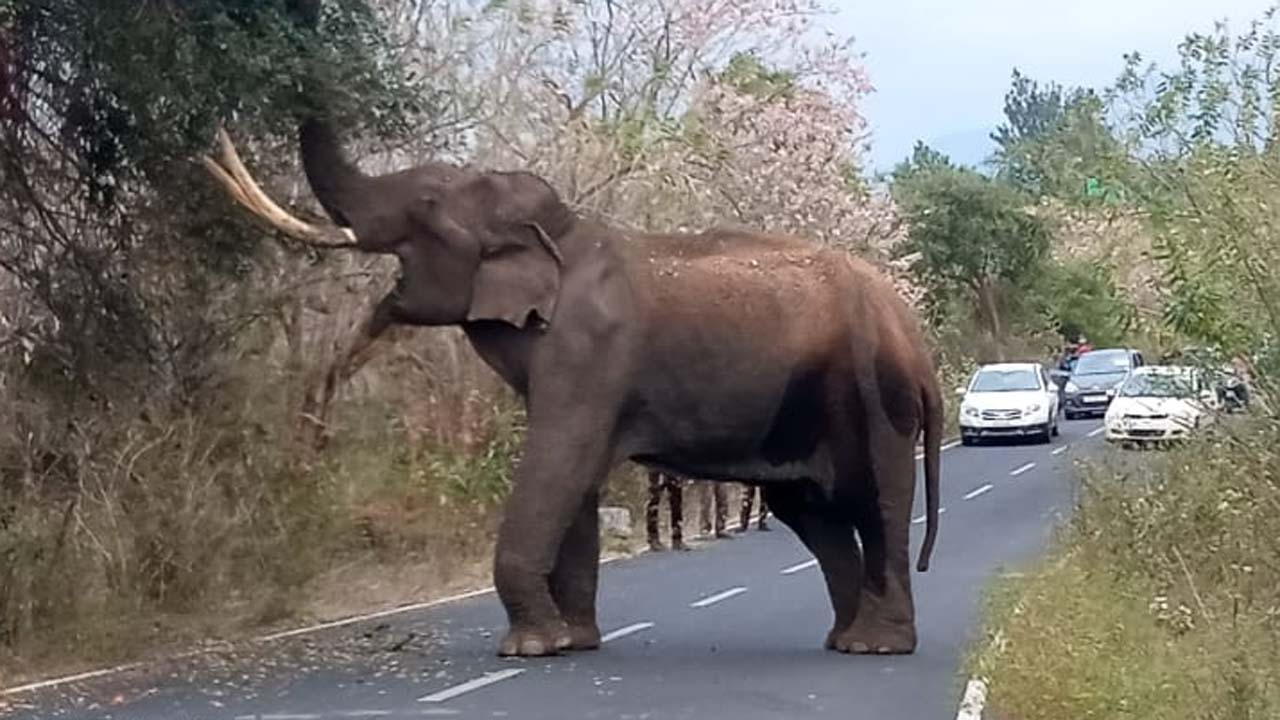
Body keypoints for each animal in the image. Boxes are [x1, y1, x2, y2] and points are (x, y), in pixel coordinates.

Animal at [202, 112, 944, 657]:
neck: (560, 231)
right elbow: (575, 478)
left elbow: (557, 462)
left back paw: (878, 649)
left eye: (428, 203)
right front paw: (575, 643)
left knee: (874, 503)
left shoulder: (589, 352)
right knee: (813, 512)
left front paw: (529, 649)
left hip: (871, 392)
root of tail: (915, 336)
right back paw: (844, 640)